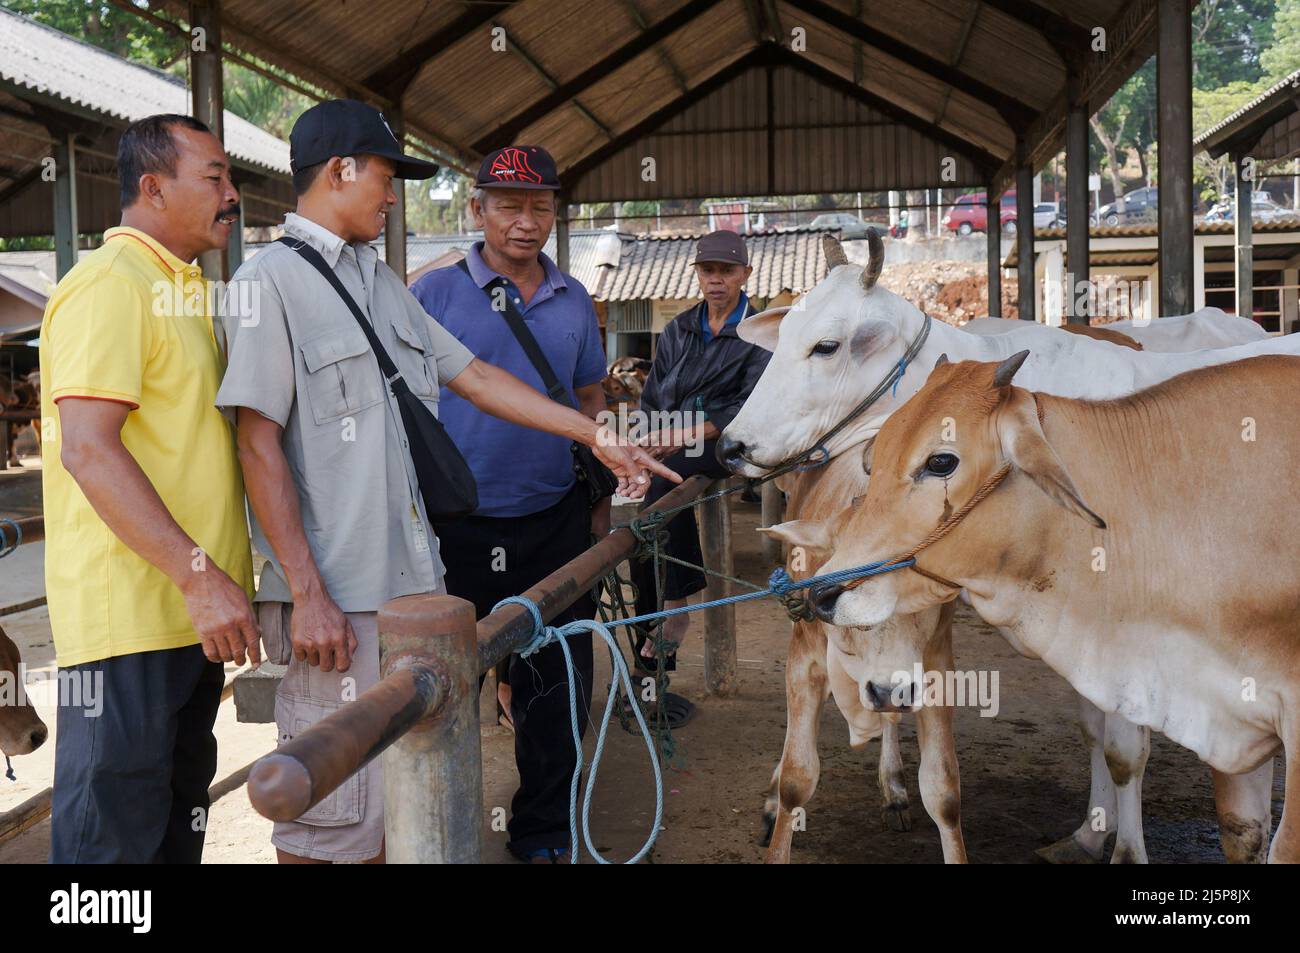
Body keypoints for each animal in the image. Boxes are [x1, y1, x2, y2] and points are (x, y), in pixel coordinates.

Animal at [728, 232, 1294, 863]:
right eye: (784, 337)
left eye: (825, 347)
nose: (730, 445)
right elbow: (1095, 733)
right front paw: (1090, 832)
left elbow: (1126, 752)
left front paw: (1123, 848)